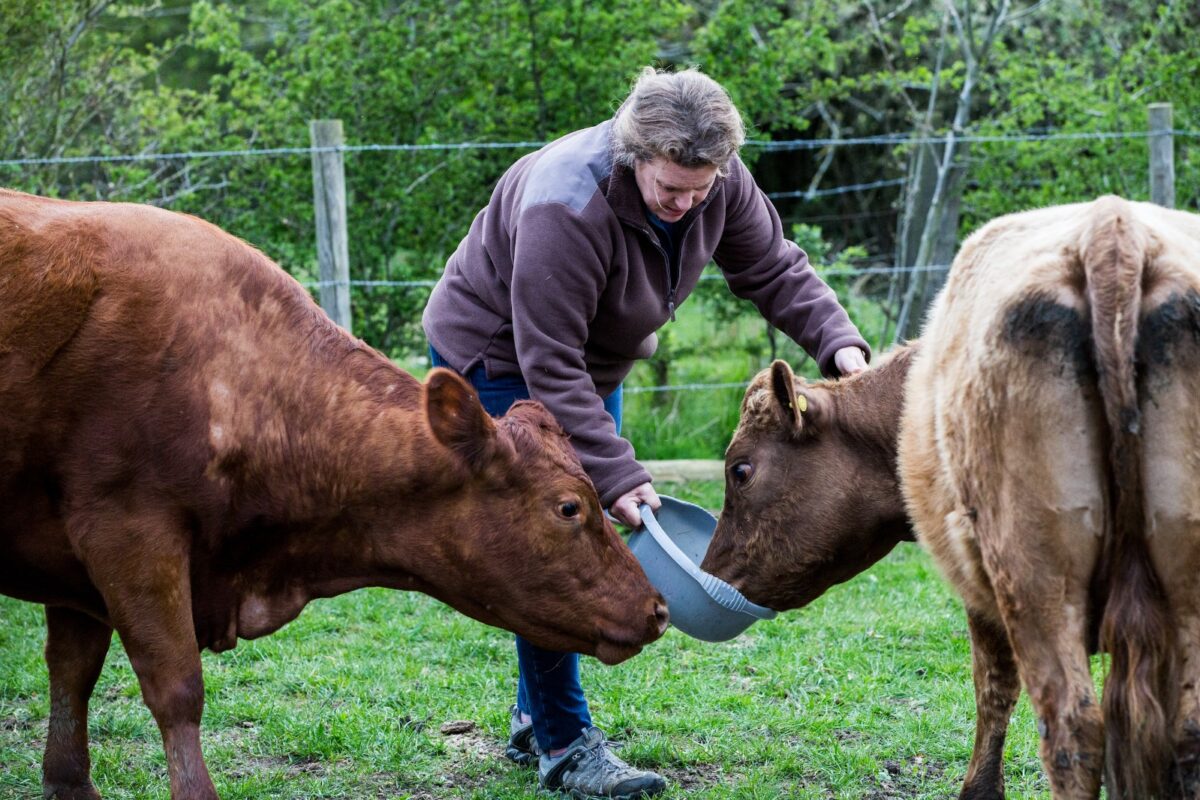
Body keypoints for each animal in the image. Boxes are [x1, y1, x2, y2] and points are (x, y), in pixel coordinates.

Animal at [0, 189, 672, 800]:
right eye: (568, 507)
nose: (659, 608)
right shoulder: (127, 533)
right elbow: (175, 688)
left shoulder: (78, 566)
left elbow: (73, 672)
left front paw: (67, 784)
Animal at [700, 195, 1200, 800]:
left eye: (740, 470)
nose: (708, 572)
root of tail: (1112, 231)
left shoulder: (982, 599)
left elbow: (992, 691)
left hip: (1034, 580)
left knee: (1073, 730)